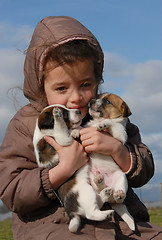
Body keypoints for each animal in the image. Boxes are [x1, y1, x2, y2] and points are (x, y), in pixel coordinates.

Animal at [33, 103, 114, 232]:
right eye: (64, 113)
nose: (79, 111)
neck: (45, 132)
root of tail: (72, 214)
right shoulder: (62, 141)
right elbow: (60, 127)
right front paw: (57, 116)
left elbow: (75, 129)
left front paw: (76, 130)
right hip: (86, 192)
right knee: (91, 214)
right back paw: (106, 214)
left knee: (98, 202)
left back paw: (105, 194)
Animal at [85, 92, 135, 231]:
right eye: (98, 97)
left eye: (108, 102)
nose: (91, 101)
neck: (97, 121)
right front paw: (74, 131)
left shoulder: (120, 135)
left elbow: (114, 124)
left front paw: (105, 123)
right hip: (89, 174)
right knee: (99, 187)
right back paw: (100, 181)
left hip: (121, 176)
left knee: (119, 197)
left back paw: (118, 193)